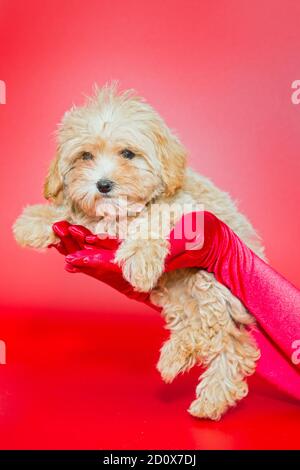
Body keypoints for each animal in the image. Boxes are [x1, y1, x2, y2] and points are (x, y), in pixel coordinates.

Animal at [12, 83, 264, 418]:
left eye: (128, 154)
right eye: (85, 156)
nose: (103, 185)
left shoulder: (187, 211)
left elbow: (153, 218)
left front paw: (140, 256)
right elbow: (74, 214)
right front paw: (34, 221)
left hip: (211, 282)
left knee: (221, 333)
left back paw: (198, 381)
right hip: (175, 293)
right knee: (209, 331)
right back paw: (183, 365)